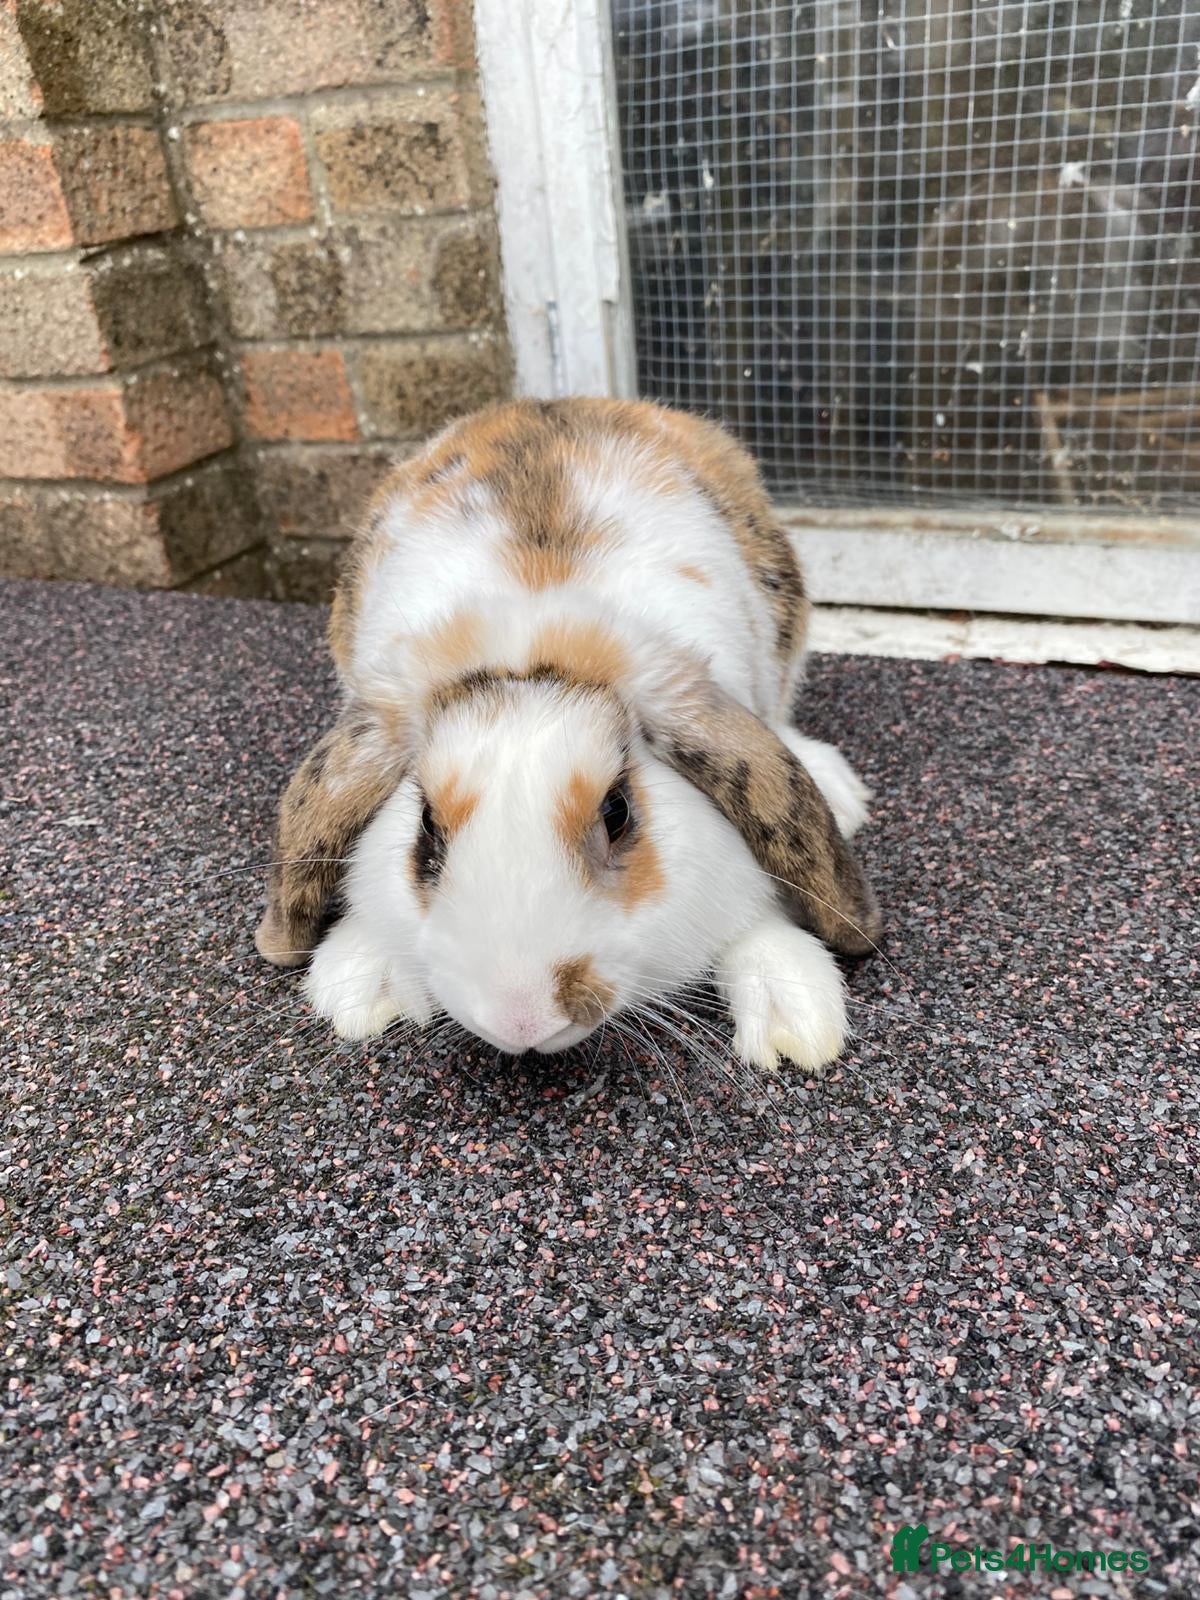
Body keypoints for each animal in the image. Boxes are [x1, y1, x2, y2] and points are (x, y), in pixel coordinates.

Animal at [255, 398, 881, 1072]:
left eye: (618, 812)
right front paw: (359, 986)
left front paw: (796, 1019)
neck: (535, 643)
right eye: (425, 828)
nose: (521, 1016)